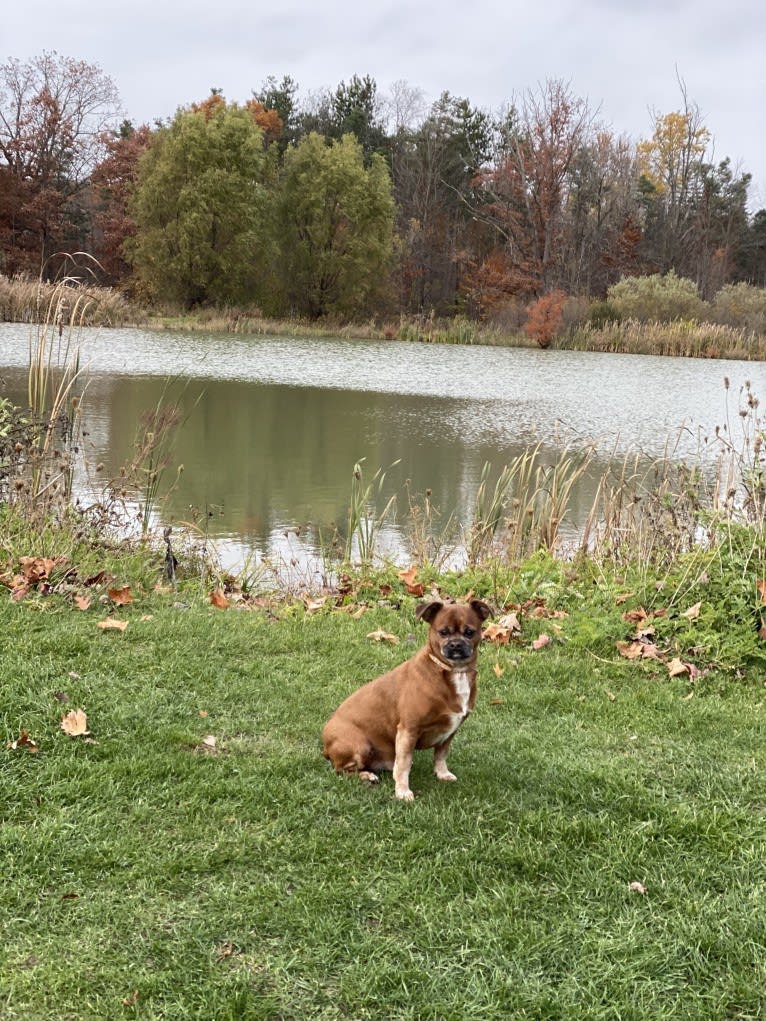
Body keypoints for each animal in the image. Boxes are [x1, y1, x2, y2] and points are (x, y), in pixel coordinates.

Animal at [322, 596, 492, 800]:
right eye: (443, 632)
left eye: (469, 632)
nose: (456, 644)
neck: (453, 672)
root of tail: (325, 744)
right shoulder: (408, 731)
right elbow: (403, 765)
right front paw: (403, 791)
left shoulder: (449, 732)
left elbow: (441, 755)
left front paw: (442, 773)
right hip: (360, 745)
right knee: (342, 770)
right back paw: (367, 775)